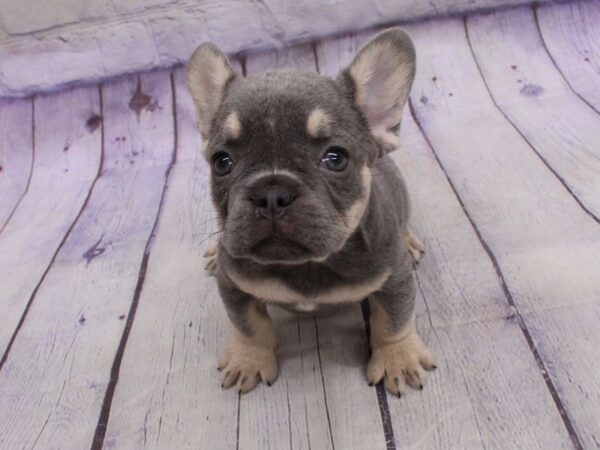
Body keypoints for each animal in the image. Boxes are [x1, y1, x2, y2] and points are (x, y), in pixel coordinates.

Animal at [185, 27, 434, 394]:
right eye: (222, 162)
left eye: (336, 158)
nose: (271, 193)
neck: (305, 265)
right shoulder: (233, 283)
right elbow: (248, 324)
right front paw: (249, 359)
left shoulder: (394, 278)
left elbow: (394, 321)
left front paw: (397, 359)